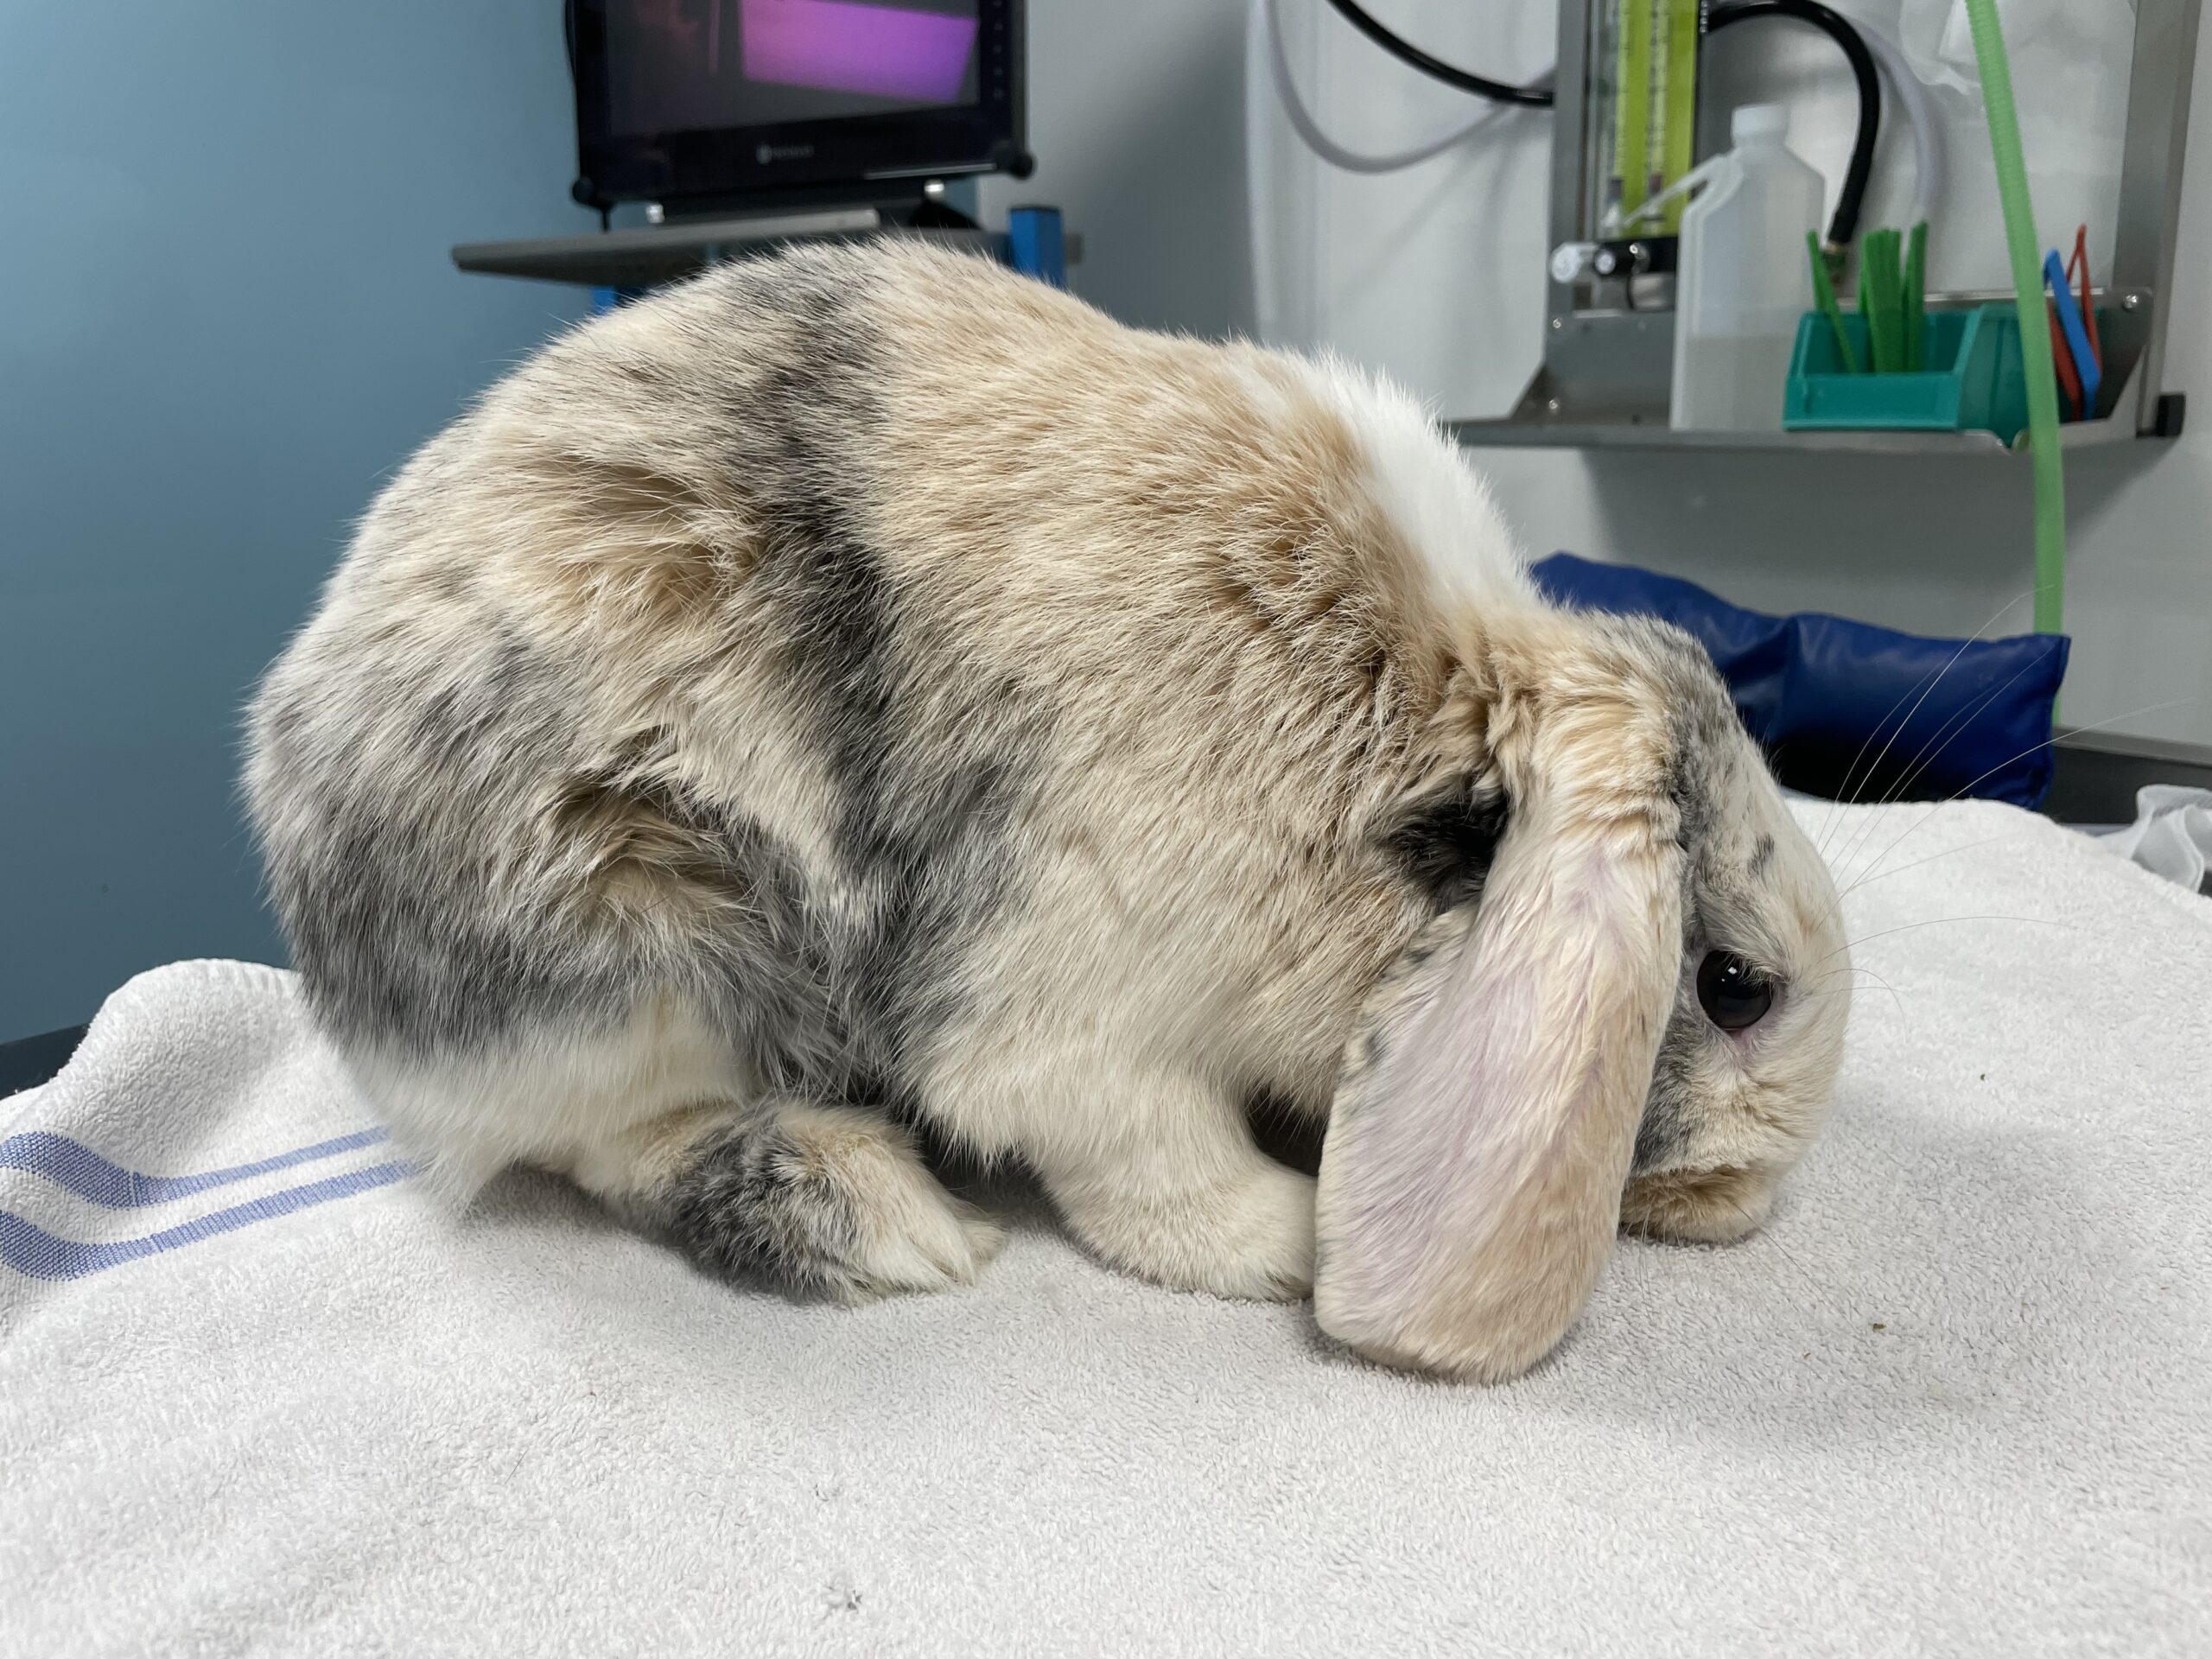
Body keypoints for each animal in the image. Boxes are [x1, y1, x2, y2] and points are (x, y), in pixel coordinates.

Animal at [245, 239, 1851, 1381]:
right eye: (1734, 983)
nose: (1748, 1200)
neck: (1406, 708)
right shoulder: (1078, 1012)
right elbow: (1146, 1162)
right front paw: (1288, 1241)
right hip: (636, 951)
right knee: (618, 1144)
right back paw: (873, 1217)